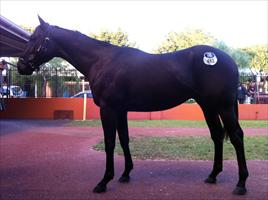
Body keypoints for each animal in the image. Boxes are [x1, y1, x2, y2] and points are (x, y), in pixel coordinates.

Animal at [15, 16, 248, 195]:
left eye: (33, 38)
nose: (21, 65)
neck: (102, 61)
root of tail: (229, 59)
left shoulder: (108, 109)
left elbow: (110, 143)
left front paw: (103, 181)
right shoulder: (120, 110)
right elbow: (124, 139)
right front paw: (125, 174)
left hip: (224, 106)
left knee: (236, 136)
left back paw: (241, 184)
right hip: (208, 105)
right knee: (217, 134)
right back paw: (212, 176)